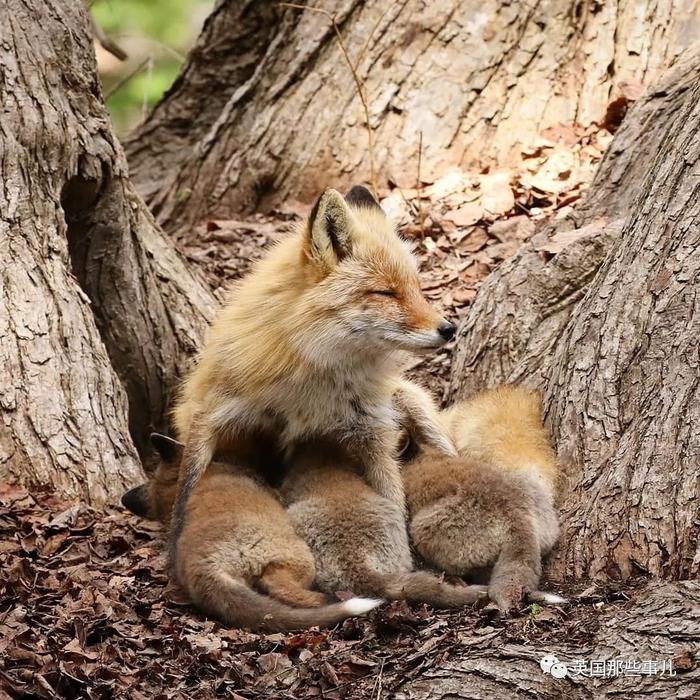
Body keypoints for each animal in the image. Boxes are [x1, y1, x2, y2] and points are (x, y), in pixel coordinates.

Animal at [168, 186, 454, 568]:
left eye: (416, 289)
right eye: (385, 292)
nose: (449, 329)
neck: (315, 376)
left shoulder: (370, 429)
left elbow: (393, 498)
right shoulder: (209, 409)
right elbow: (187, 487)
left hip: (418, 413)